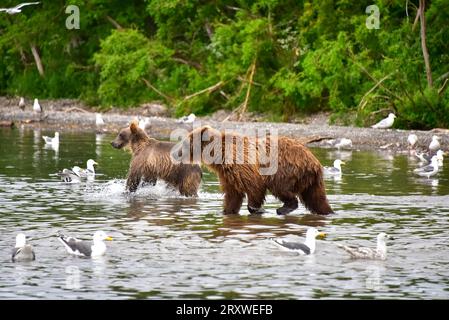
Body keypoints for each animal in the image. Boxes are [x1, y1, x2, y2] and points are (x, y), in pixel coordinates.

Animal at [172, 125, 332, 215]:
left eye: (185, 142)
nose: (175, 153)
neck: (219, 156)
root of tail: (315, 162)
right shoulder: (227, 174)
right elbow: (233, 195)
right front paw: (226, 211)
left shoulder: (240, 163)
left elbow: (254, 186)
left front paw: (256, 209)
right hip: (311, 181)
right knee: (316, 199)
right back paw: (328, 212)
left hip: (285, 169)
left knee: (280, 187)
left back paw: (283, 208)